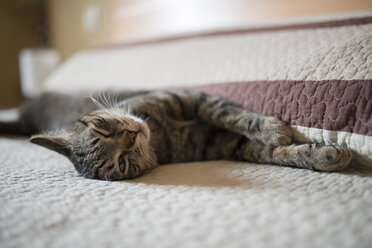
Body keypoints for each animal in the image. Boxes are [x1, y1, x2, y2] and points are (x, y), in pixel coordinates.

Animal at [0, 90, 352, 180]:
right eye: (121, 163)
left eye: (102, 128)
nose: (130, 135)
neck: (160, 132)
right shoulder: (229, 145)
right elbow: (271, 152)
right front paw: (324, 155)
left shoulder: (196, 99)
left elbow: (234, 116)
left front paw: (272, 128)